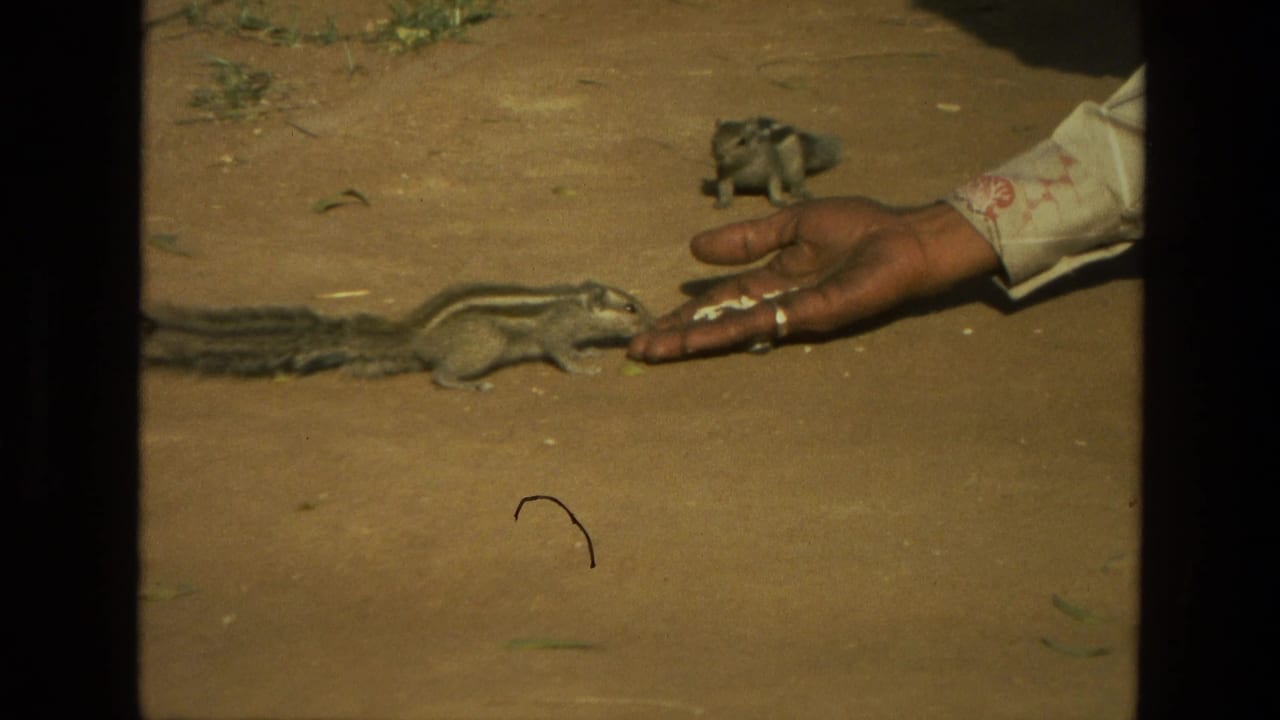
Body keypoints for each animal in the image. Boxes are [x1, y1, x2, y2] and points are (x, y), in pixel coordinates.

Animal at [711, 116, 842, 208]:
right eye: (714, 139)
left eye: (742, 142)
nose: (720, 155)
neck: (743, 164)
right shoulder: (724, 173)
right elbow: (724, 188)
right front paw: (723, 202)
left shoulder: (773, 171)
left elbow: (775, 186)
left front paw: (778, 201)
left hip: (794, 167)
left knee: (796, 182)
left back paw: (801, 192)